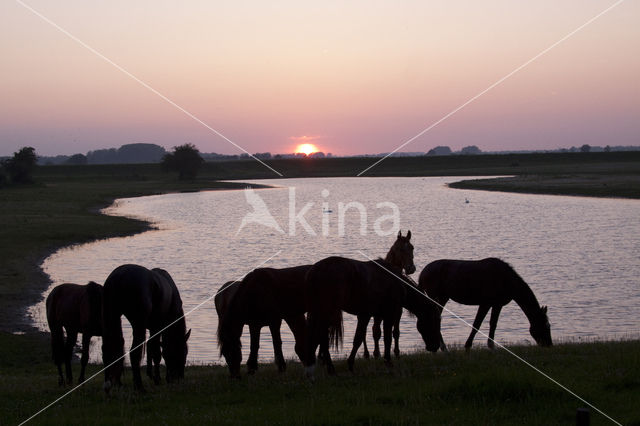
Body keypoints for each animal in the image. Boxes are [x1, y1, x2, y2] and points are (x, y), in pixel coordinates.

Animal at [102, 262, 190, 392]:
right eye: (184, 351)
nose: (178, 376)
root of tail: (119, 276)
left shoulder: (153, 328)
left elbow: (151, 348)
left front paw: (152, 375)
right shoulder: (158, 327)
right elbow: (157, 352)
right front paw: (158, 378)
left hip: (111, 318)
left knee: (107, 349)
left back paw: (111, 384)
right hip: (138, 325)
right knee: (135, 353)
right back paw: (139, 387)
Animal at [304, 230, 440, 380]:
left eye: (412, 248)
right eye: (434, 320)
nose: (435, 346)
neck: (395, 281)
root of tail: (315, 271)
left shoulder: (371, 315)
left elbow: (366, 337)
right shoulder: (386, 314)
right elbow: (382, 338)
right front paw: (386, 362)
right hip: (328, 311)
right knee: (322, 336)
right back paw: (329, 368)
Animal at [418, 256, 552, 350]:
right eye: (545, 326)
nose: (549, 344)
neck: (505, 279)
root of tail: (423, 273)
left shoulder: (497, 304)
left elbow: (493, 324)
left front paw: (491, 346)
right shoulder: (485, 303)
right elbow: (477, 324)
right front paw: (468, 346)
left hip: (443, 298)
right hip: (437, 298)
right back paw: (443, 348)